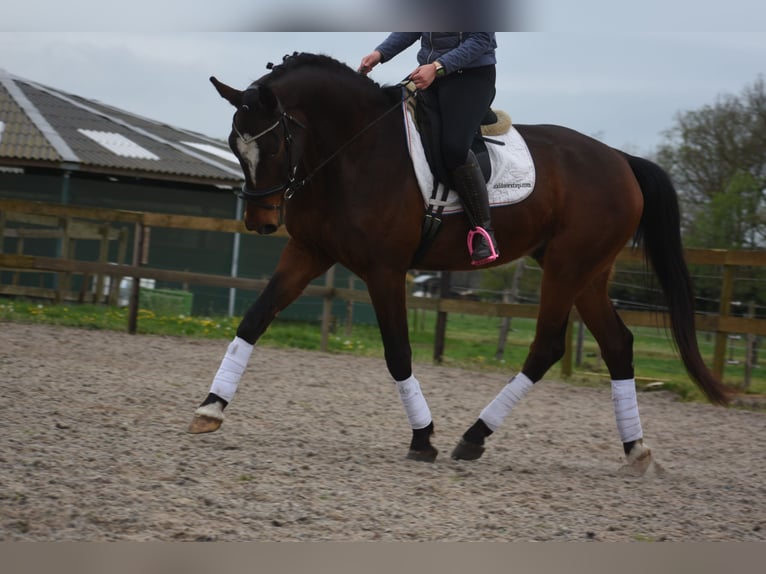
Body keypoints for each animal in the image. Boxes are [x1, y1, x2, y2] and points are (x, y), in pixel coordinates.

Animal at [188, 52, 730, 473]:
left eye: (274, 142)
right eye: (235, 144)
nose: (260, 220)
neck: (353, 150)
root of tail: (621, 160)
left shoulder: (385, 271)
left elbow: (398, 353)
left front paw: (422, 438)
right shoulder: (309, 252)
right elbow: (254, 319)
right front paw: (211, 408)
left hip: (567, 269)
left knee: (547, 347)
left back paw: (473, 436)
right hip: (589, 274)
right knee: (617, 345)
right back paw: (635, 449)